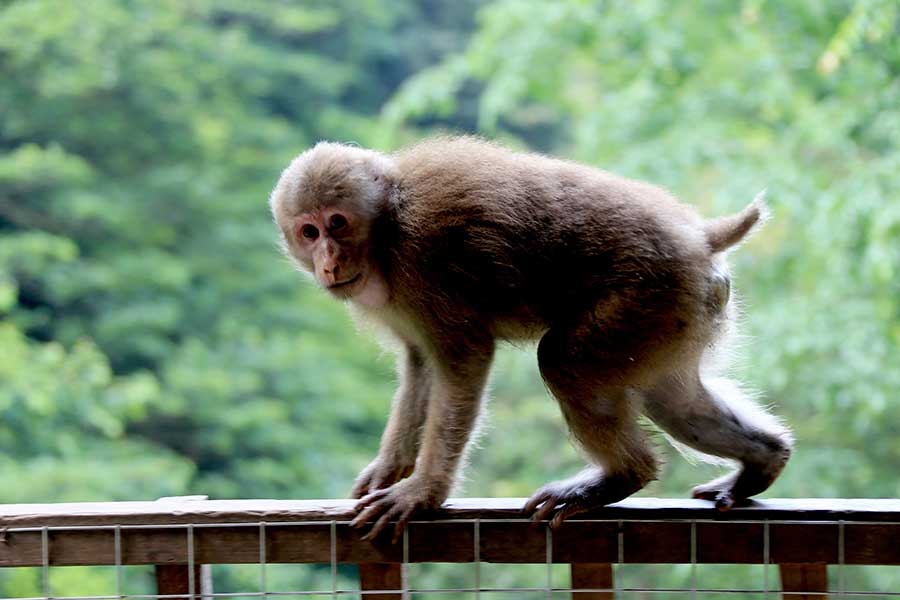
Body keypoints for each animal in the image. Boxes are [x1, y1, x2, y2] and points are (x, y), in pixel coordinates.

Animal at [268, 136, 796, 540]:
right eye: (309, 231)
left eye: (337, 223)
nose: (329, 262)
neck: (388, 230)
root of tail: (699, 236)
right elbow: (421, 364)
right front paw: (389, 467)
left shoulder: (423, 263)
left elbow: (463, 360)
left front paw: (423, 491)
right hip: (680, 313)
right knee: (674, 402)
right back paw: (762, 461)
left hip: (647, 296)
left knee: (565, 363)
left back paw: (622, 475)